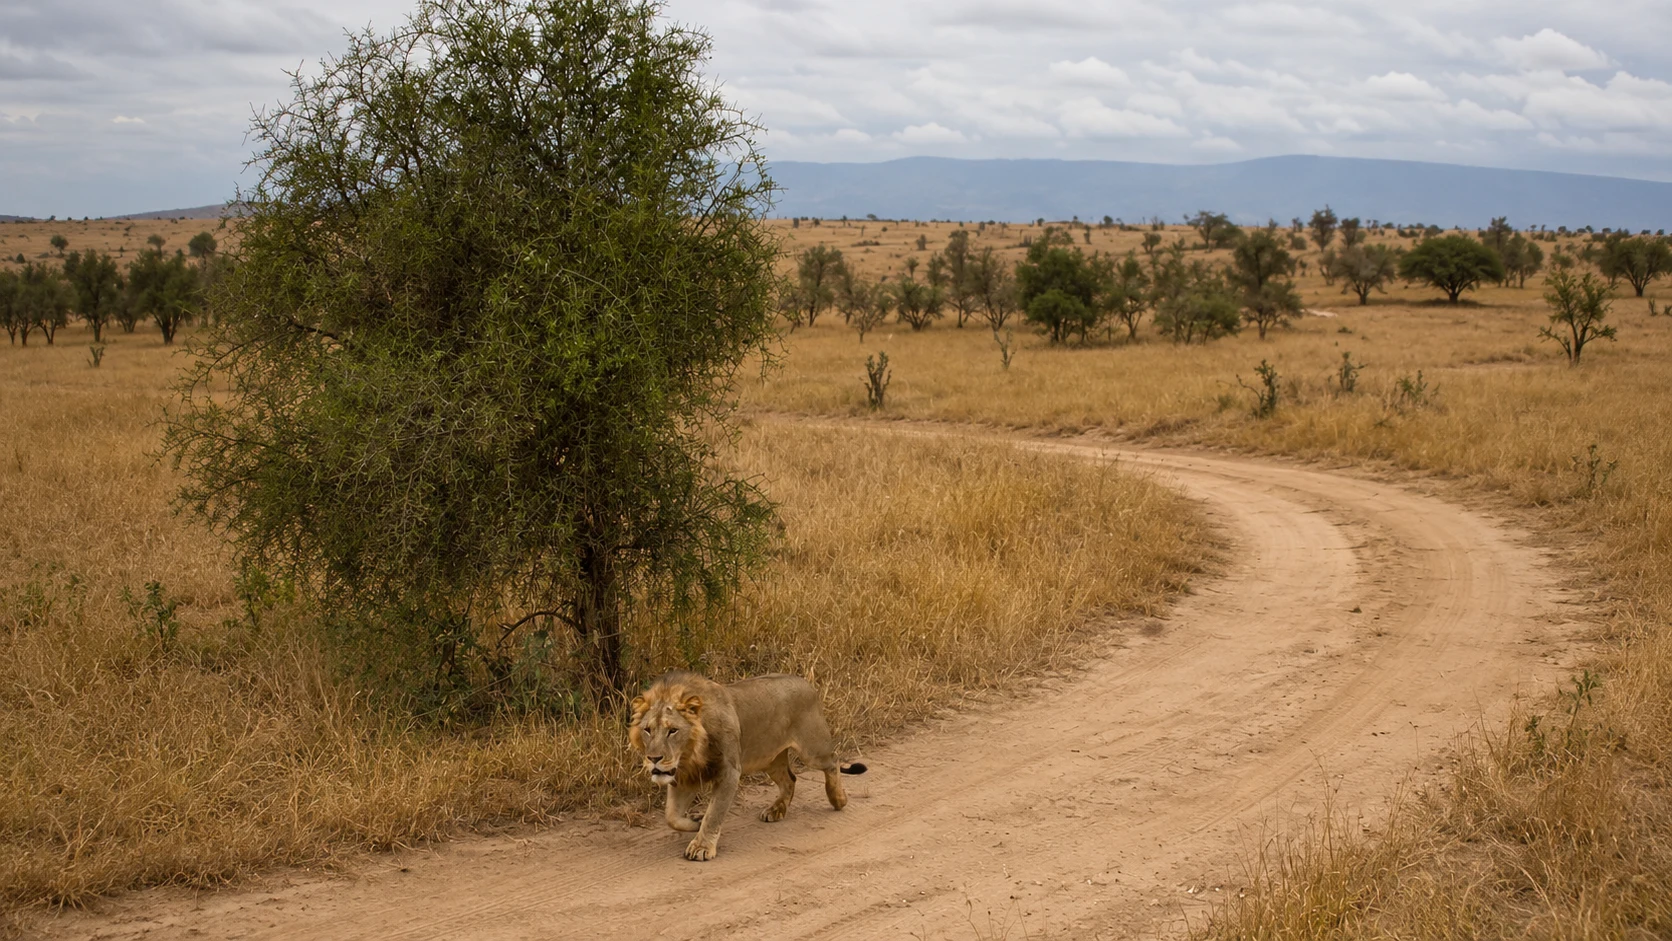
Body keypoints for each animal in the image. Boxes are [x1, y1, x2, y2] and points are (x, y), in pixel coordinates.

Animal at [629, 670, 866, 861]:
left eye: (673, 730)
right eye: (648, 730)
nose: (653, 758)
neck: (689, 755)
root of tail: (807, 683)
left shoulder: (729, 772)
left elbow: (715, 813)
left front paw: (702, 847)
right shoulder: (686, 777)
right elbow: (671, 817)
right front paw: (695, 821)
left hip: (812, 750)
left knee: (833, 760)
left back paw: (838, 799)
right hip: (770, 759)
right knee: (790, 779)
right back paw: (776, 810)